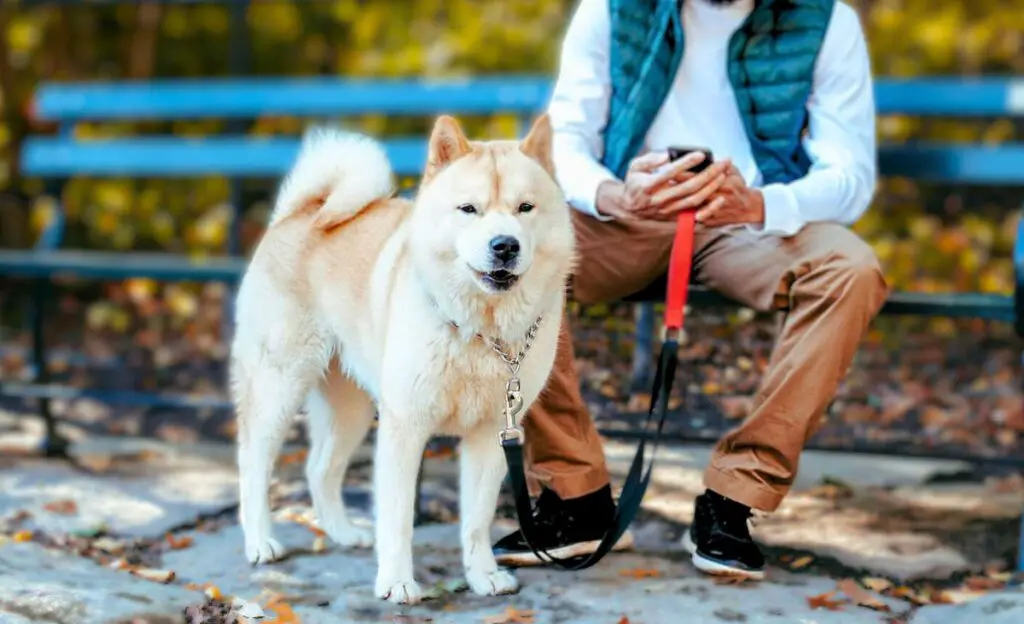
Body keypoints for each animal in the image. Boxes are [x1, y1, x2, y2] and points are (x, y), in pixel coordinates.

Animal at [229, 113, 577, 602]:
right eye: (468, 209)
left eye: (525, 208)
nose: (505, 245)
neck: (479, 331)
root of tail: (301, 212)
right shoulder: (405, 427)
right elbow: (397, 519)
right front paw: (396, 582)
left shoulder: (494, 432)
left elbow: (477, 519)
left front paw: (482, 575)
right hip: (279, 388)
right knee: (254, 464)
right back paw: (260, 542)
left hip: (352, 410)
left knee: (319, 469)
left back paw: (343, 533)